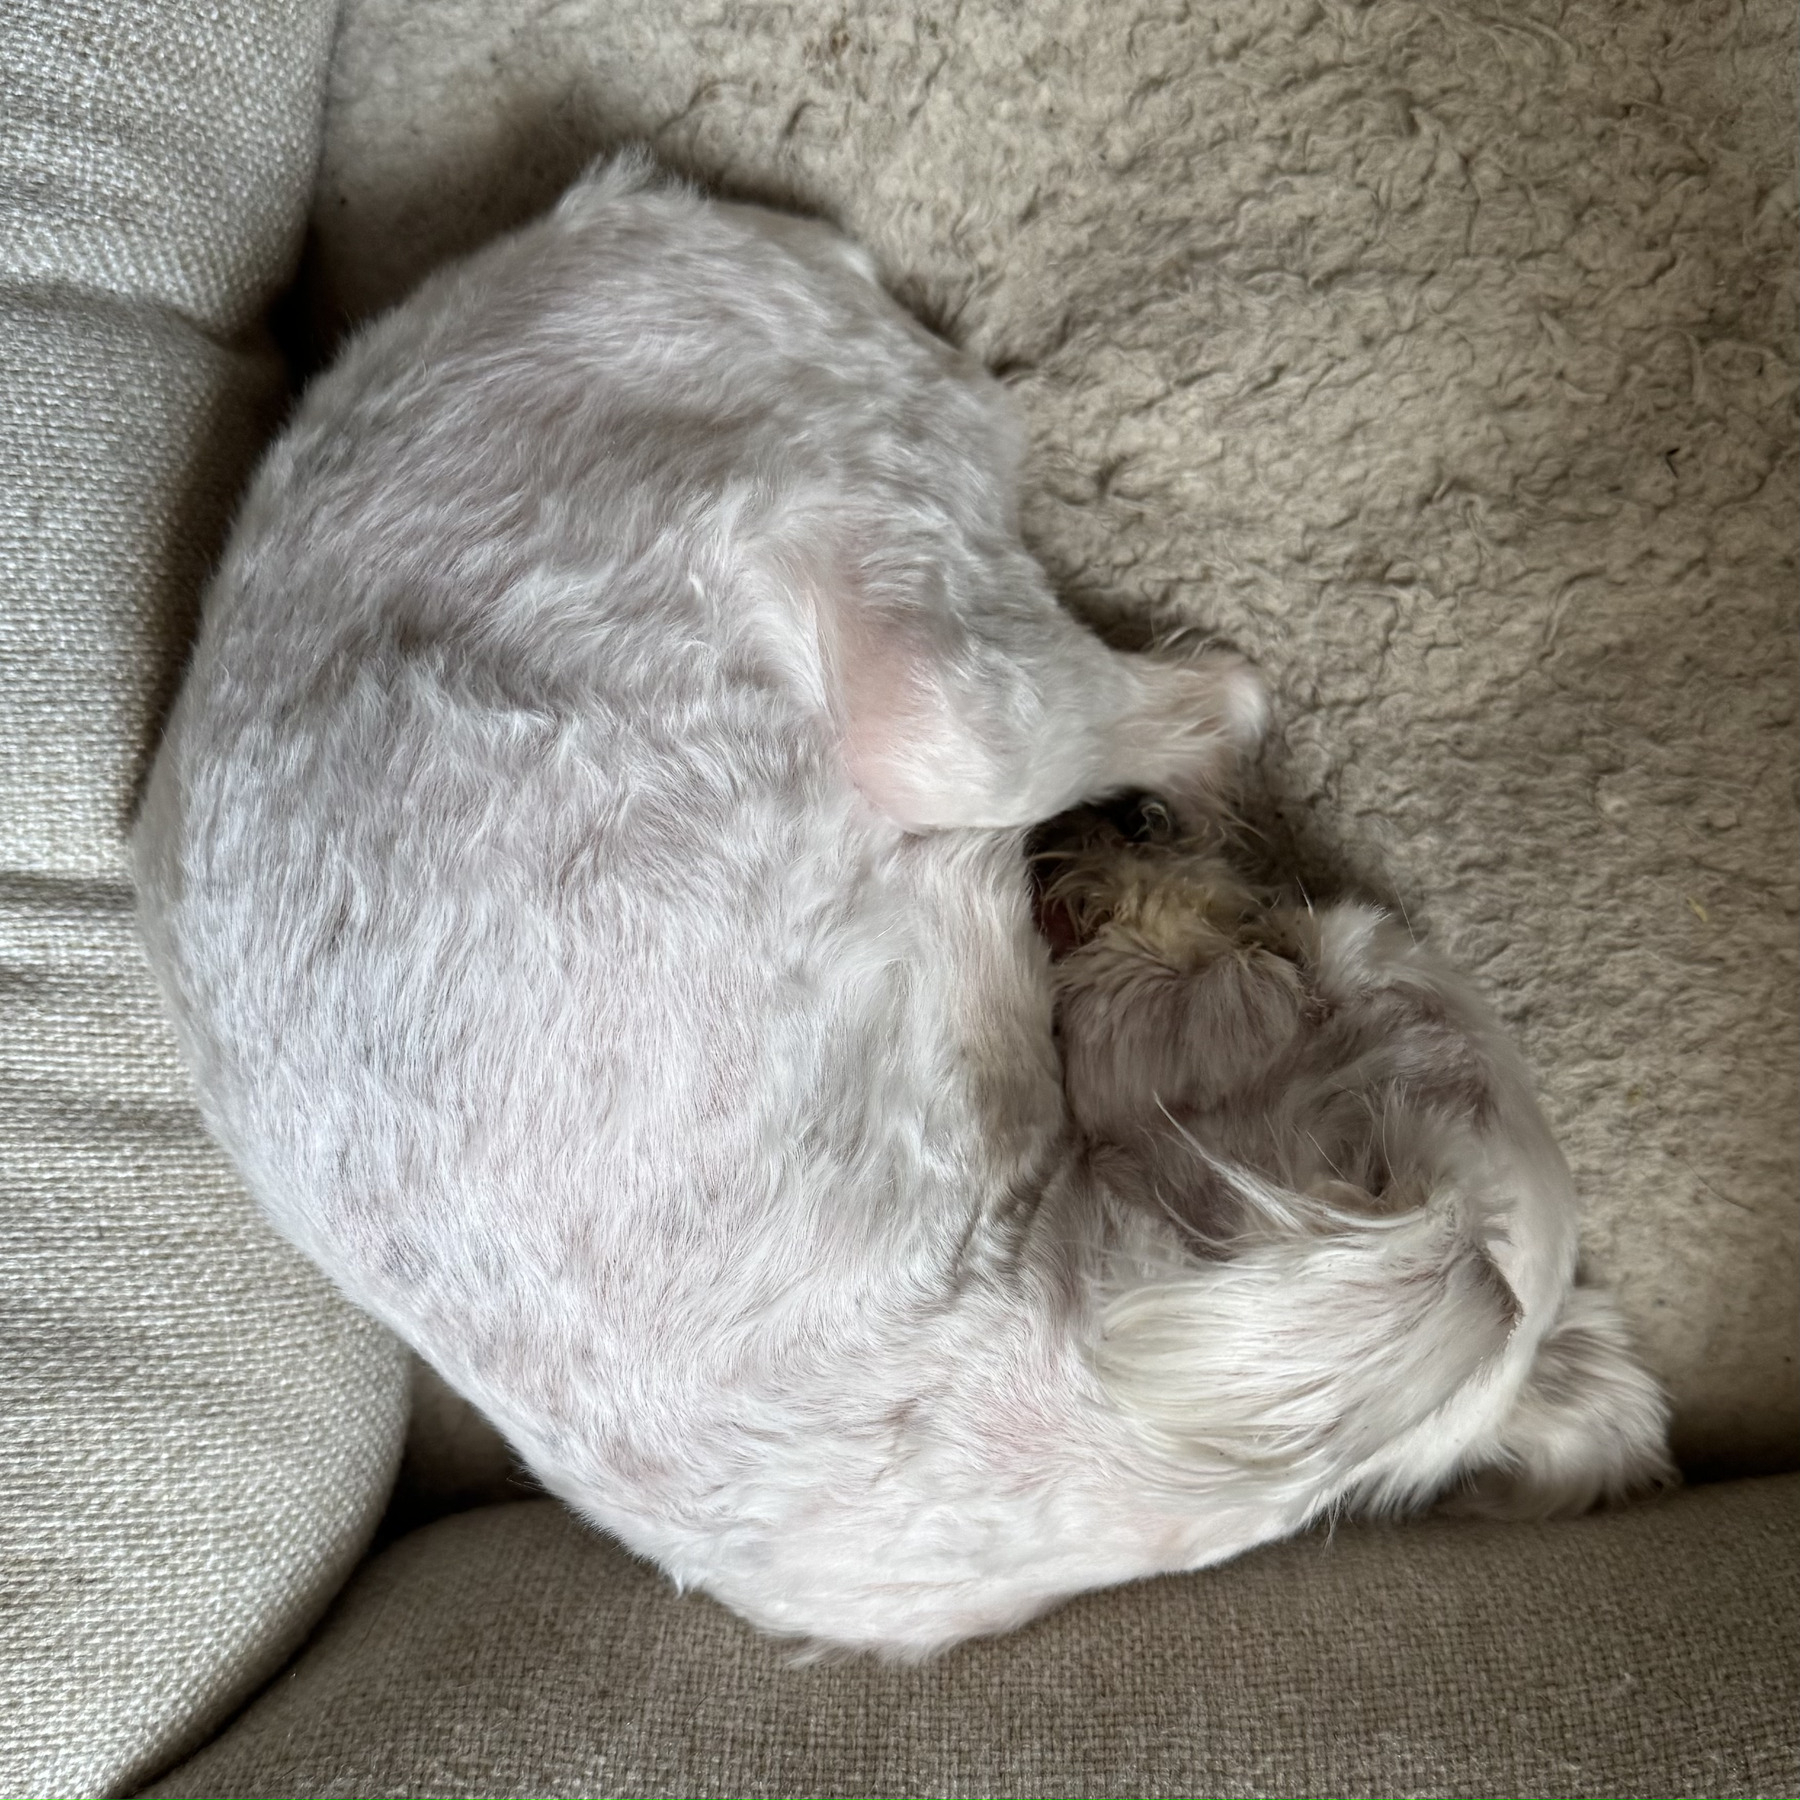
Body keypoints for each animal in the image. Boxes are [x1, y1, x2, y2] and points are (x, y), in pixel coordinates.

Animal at [136, 158, 1670, 1656]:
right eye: (1301, 950)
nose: (1114, 840)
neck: (1075, 1365)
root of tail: (659, 224)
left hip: (916, 640)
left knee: (1195, 696)